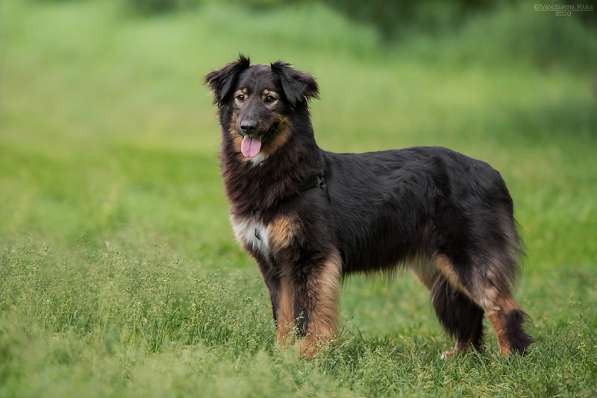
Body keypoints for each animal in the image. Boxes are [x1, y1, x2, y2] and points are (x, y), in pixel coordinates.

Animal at [204, 56, 532, 358]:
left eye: (270, 99)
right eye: (240, 97)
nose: (247, 127)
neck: (284, 170)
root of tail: (492, 173)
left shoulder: (311, 255)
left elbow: (311, 312)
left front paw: (308, 353)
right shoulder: (274, 265)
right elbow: (284, 316)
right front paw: (282, 355)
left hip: (467, 257)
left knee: (502, 306)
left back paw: (509, 359)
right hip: (436, 264)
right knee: (470, 309)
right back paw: (462, 357)